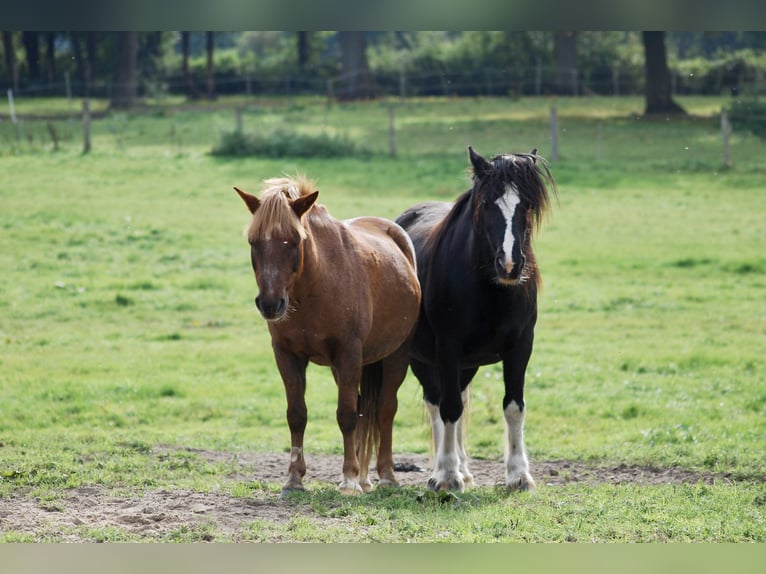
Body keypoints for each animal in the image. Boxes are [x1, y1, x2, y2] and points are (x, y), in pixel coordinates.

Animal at [235, 175, 421, 495]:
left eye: (294, 240)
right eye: (253, 242)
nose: (270, 304)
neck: (314, 286)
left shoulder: (348, 353)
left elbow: (346, 415)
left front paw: (348, 479)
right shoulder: (287, 355)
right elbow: (297, 414)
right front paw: (294, 478)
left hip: (396, 355)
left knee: (385, 409)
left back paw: (385, 475)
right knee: (363, 409)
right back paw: (365, 477)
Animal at [395, 146, 555, 492]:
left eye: (528, 204)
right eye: (486, 204)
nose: (509, 264)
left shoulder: (521, 346)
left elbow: (513, 407)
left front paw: (518, 475)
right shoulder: (448, 348)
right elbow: (449, 408)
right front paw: (446, 475)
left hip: (467, 365)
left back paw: (465, 469)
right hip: (422, 358)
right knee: (437, 403)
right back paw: (443, 470)